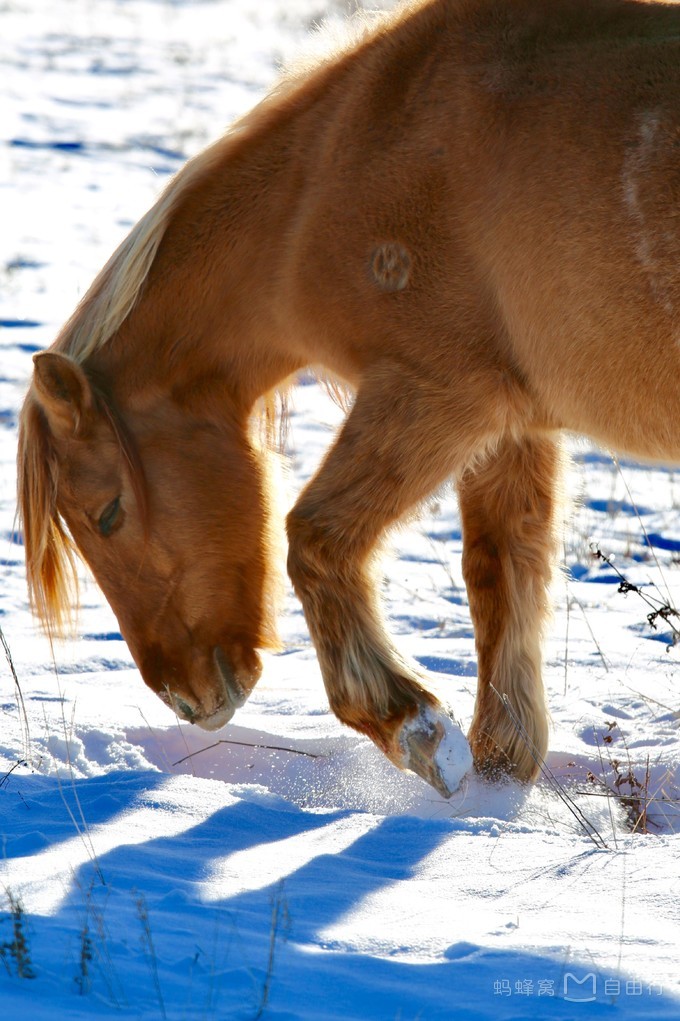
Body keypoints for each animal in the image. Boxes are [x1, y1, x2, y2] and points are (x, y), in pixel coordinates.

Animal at [15, 0, 680, 796]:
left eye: (108, 513)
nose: (188, 699)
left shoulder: (438, 393)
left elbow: (315, 538)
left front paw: (419, 732)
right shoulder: (515, 423)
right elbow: (501, 569)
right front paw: (498, 774)